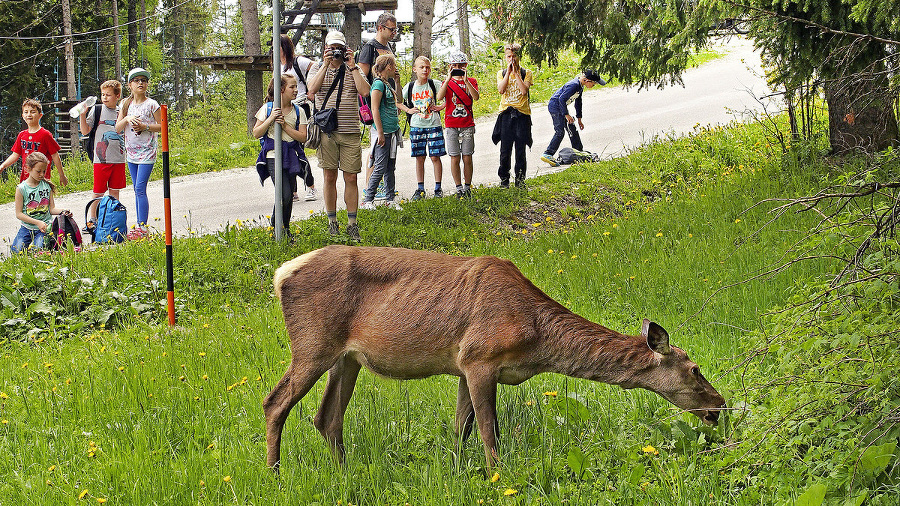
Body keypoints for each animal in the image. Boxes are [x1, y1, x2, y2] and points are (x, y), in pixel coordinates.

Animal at [264, 245, 728, 470]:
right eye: (695, 369)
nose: (720, 405)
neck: (536, 339)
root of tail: (280, 273)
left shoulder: (463, 367)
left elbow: (460, 429)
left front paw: (457, 474)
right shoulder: (479, 358)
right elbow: (489, 431)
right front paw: (495, 475)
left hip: (347, 358)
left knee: (326, 417)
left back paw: (345, 473)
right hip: (312, 344)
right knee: (275, 403)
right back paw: (276, 473)